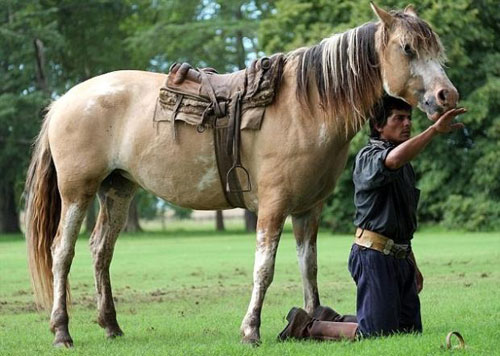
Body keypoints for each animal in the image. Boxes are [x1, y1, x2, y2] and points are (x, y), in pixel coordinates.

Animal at [25, 2, 458, 348]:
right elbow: (264, 270)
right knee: (62, 253)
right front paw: (251, 330)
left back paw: (111, 326)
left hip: (118, 190)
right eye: (408, 48)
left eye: (435, 49)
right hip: (77, 191)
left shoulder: (308, 210)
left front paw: (313, 321)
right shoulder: (273, 207)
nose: (447, 96)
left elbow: (309, 267)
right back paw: (62, 332)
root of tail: (64, 100)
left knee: (101, 250)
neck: (305, 108)